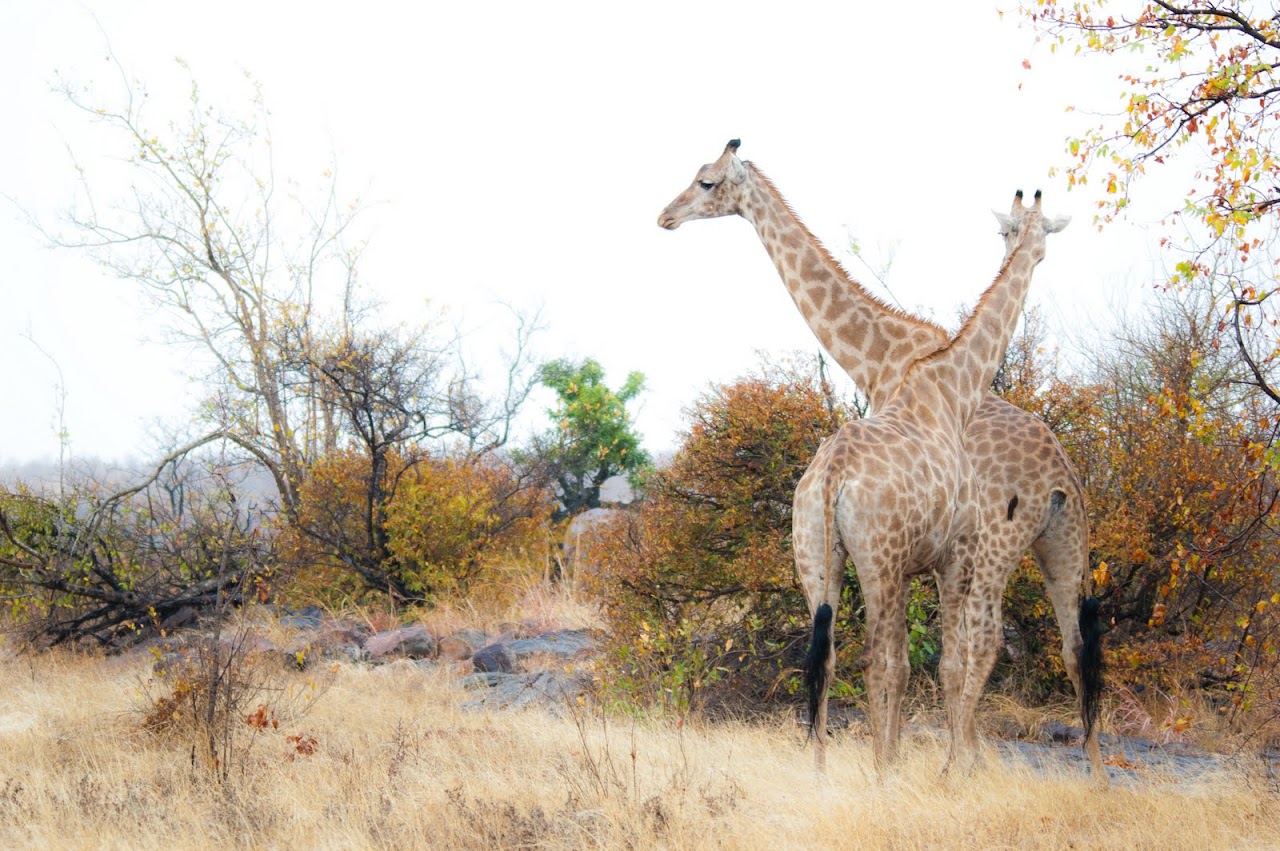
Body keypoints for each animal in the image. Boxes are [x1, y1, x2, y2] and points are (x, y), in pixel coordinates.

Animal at [658, 140, 1101, 774]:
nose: (665, 216)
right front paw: (930, 761)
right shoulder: (935, 554)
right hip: (1025, 545)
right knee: (1031, 644)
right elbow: (919, 660)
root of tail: (1063, 472)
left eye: (707, 182)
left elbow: (918, 658)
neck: (891, 359)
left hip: (1010, 544)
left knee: (1030, 644)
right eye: (1004, 231)